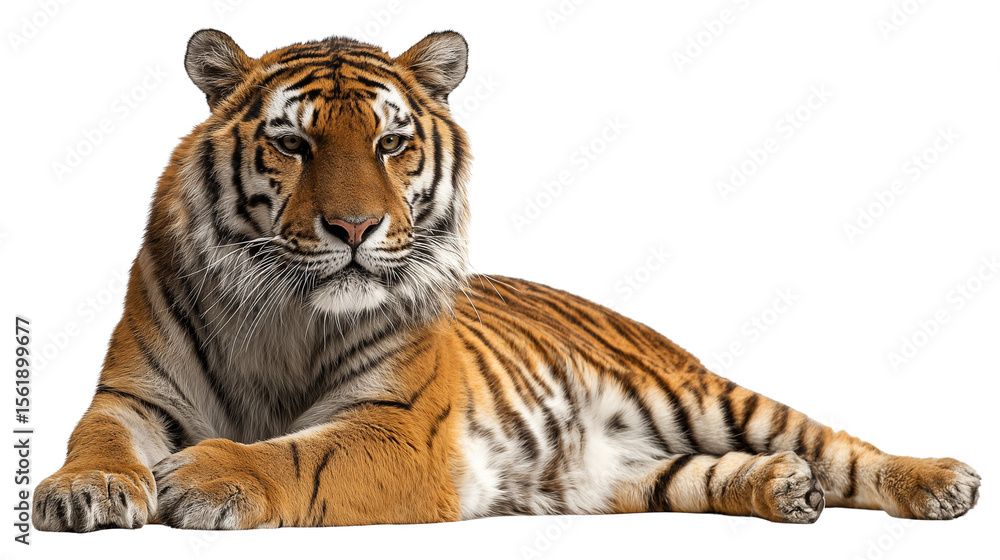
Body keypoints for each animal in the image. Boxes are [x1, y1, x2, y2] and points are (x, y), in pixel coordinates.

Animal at [33, 29, 980, 532]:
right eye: (293, 144)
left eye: (390, 143)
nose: (353, 229)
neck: (284, 311)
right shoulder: (134, 394)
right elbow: (96, 437)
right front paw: (85, 491)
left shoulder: (398, 429)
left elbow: (299, 453)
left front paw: (204, 478)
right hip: (619, 478)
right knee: (702, 476)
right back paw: (784, 488)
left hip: (704, 394)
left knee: (842, 446)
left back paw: (939, 483)